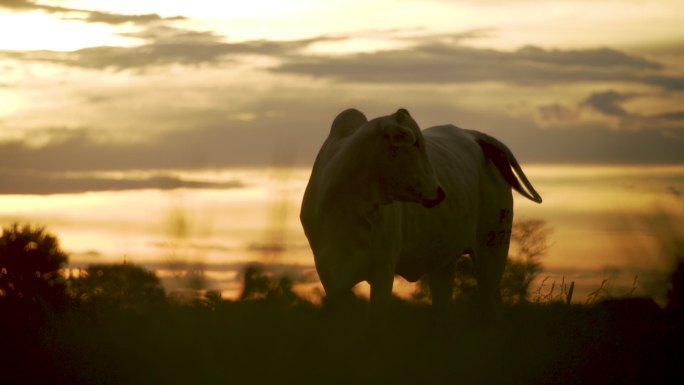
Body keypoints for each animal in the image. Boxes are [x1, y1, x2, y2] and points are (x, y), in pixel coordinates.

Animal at [302, 107, 544, 318]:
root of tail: (476, 136)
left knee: (492, 307)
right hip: (444, 263)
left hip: (493, 251)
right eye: (415, 144)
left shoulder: (383, 270)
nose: (439, 192)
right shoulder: (330, 276)